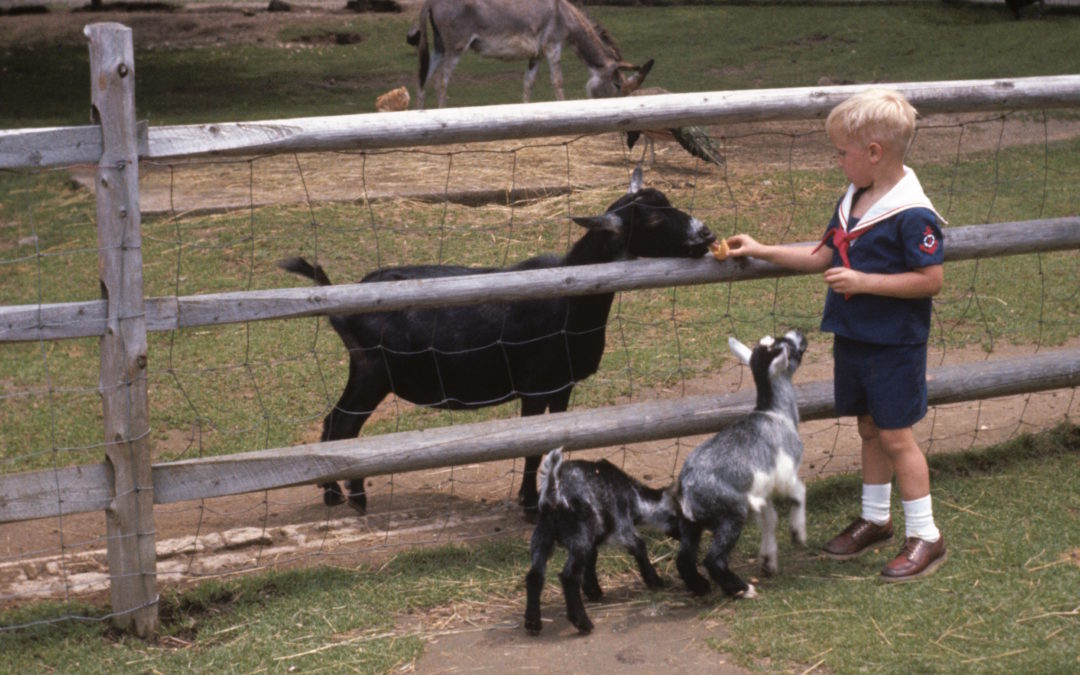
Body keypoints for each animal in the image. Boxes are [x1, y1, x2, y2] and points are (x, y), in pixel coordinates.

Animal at [282, 166, 712, 514]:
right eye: (652, 219)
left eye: (667, 202)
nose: (706, 233)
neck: (570, 299)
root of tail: (341, 305)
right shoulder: (536, 386)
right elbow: (532, 447)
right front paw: (529, 504)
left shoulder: (562, 386)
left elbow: (554, 445)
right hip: (372, 371)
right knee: (342, 425)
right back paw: (344, 497)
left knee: (338, 424)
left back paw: (340, 494)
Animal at [520, 447, 673, 630]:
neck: (633, 494)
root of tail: (554, 497)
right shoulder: (621, 526)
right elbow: (639, 546)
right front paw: (655, 580)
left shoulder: (593, 537)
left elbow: (592, 558)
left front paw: (593, 590)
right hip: (578, 537)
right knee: (569, 577)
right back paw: (583, 623)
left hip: (543, 536)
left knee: (535, 575)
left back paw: (533, 622)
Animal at [669, 328, 807, 596]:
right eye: (787, 346)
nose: (798, 333)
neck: (777, 413)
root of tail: (687, 489)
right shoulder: (785, 474)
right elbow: (799, 493)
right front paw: (798, 533)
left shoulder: (762, 492)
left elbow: (770, 519)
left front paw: (768, 561)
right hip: (731, 511)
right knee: (713, 559)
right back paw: (742, 590)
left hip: (691, 523)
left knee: (684, 558)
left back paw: (701, 587)